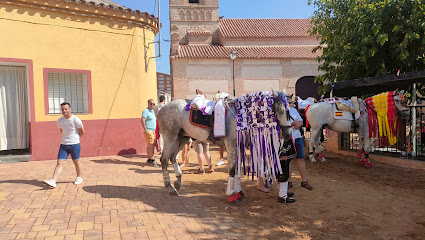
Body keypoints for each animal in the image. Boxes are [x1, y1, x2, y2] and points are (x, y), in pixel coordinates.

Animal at [156, 90, 292, 202]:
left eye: (289, 111)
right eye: (280, 110)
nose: (288, 133)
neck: (239, 115)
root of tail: (162, 109)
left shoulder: (239, 146)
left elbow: (238, 168)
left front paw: (239, 192)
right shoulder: (231, 145)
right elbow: (232, 169)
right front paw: (231, 193)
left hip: (182, 138)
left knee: (172, 157)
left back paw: (178, 182)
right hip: (170, 138)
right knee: (164, 159)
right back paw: (170, 187)